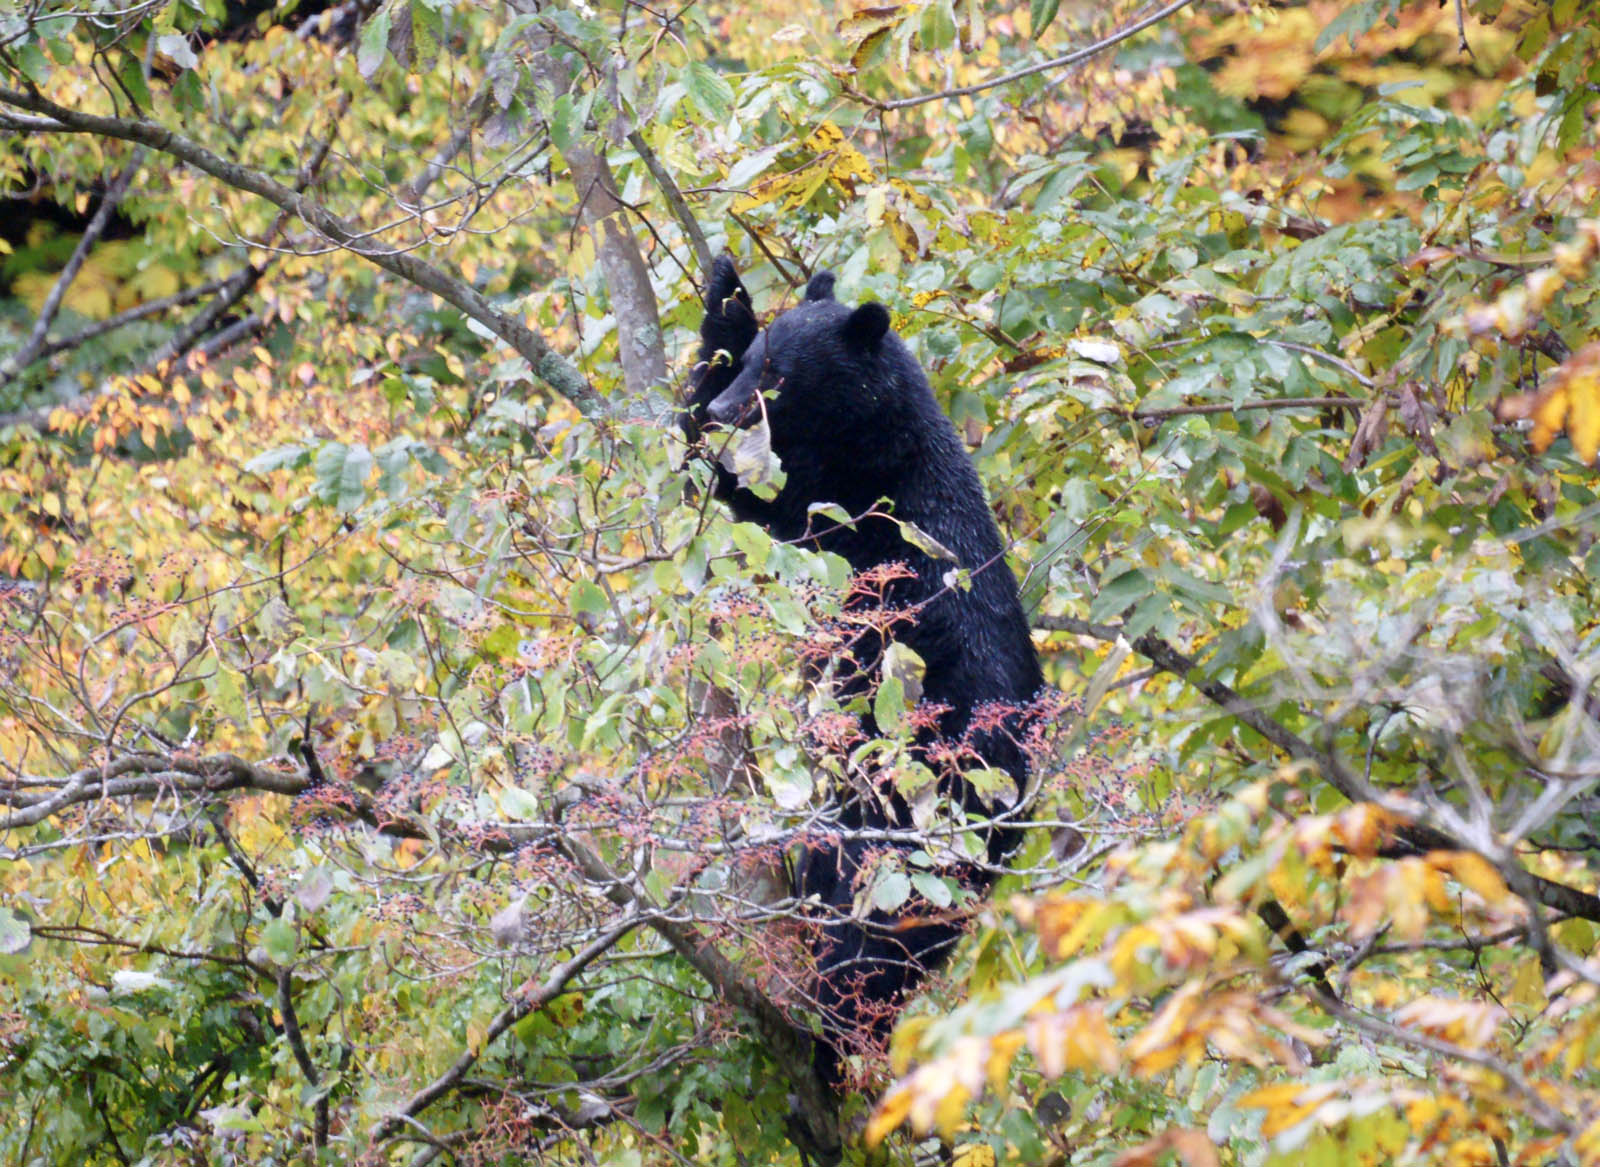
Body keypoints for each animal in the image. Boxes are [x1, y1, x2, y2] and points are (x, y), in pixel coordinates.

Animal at [684, 257, 1036, 1094]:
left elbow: (762, 501)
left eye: (778, 374)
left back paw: (827, 1030)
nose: (725, 409)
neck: (880, 434)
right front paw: (725, 293)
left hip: (922, 828)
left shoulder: (856, 504)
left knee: (873, 943)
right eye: (753, 361)